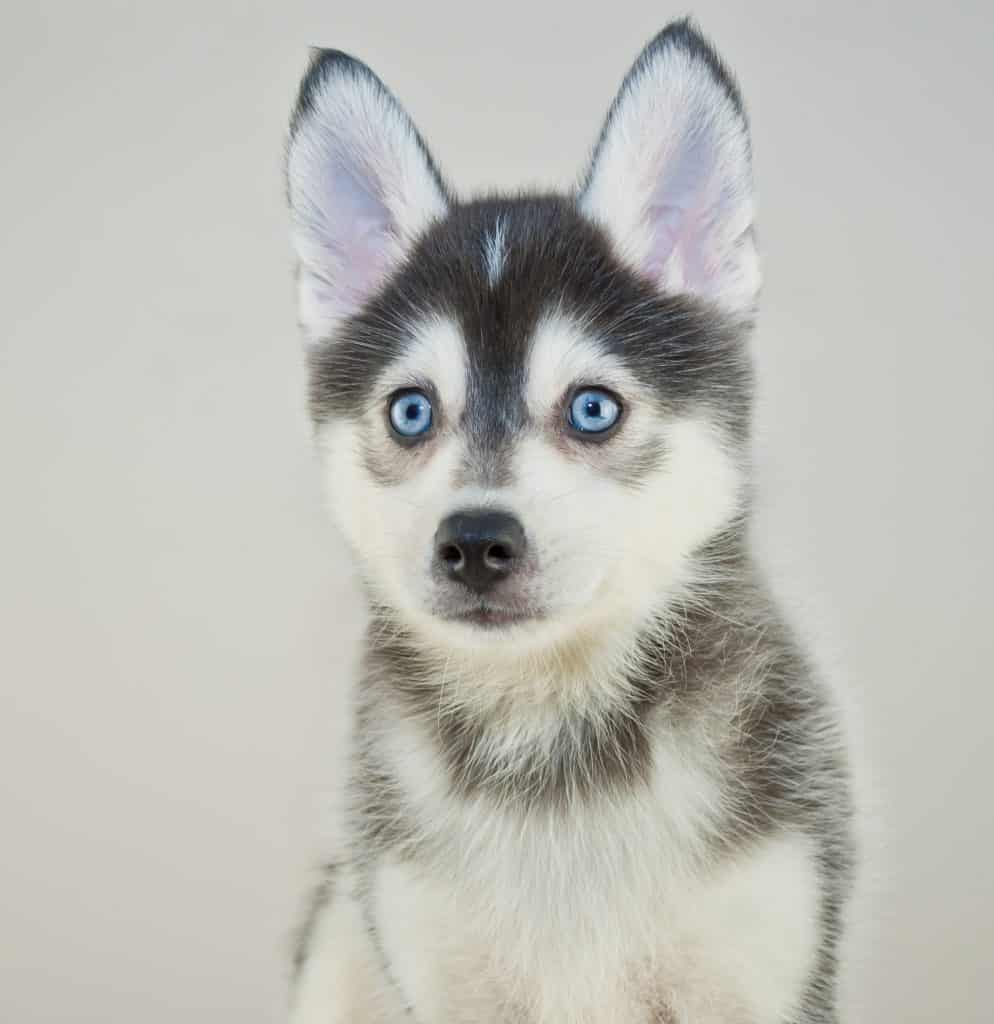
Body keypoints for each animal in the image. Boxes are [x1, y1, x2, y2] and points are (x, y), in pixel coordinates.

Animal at [286, 18, 855, 1024]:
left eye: (593, 409)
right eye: (410, 411)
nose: (476, 543)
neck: (550, 739)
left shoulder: (764, 956)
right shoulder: (434, 963)